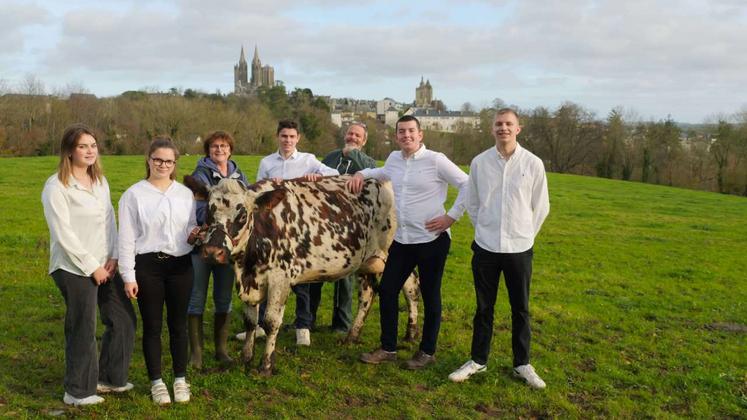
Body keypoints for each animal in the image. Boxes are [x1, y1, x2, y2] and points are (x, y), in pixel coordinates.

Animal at [186, 176, 420, 376]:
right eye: (209, 211)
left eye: (242, 215)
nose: (212, 252)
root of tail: (381, 180)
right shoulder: (250, 280)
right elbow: (250, 321)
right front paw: (246, 357)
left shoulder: (280, 278)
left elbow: (270, 322)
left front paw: (266, 365)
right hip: (364, 262)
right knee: (367, 295)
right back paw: (352, 336)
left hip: (395, 254)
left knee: (410, 288)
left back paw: (411, 333)